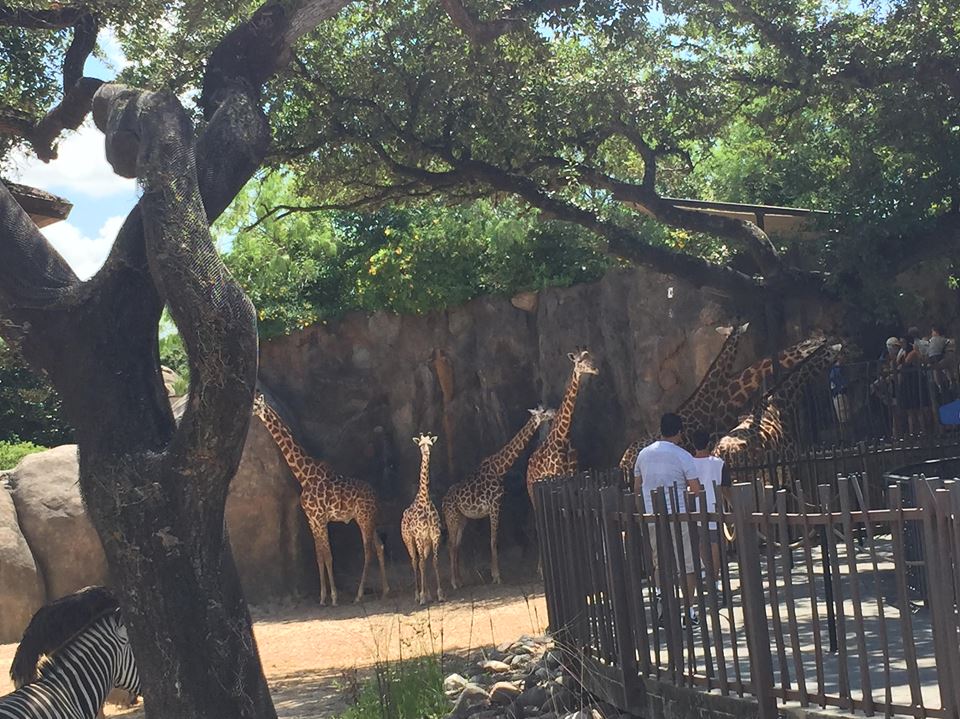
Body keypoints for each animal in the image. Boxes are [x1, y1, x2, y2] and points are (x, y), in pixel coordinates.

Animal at [252, 394, 389, 606]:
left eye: (256, 404)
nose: (250, 411)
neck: (304, 475)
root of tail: (376, 496)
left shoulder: (320, 518)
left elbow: (329, 556)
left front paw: (333, 597)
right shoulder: (312, 520)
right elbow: (320, 556)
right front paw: (323, 597)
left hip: (364, 519)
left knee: (369, 551)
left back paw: (358, 595)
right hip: (368, 519)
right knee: (380, 546)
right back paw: (385, 592)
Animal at [401, 434, 444, 605]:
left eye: (430, 444)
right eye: (420, 445)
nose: (426, 453)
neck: (424, 501)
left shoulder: (434, 536)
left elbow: (434, 562)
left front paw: (439, 594)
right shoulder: (419, 536)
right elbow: (421, 564)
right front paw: (422, 597)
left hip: (425, 543)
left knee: (422, 561)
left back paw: (427, 594)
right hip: (408, 539)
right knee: (415, 561)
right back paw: (417, 595)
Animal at [443, 406, 556, 590]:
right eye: (544, 412)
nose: (554, 412)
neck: (500, 468)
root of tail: (442, 502)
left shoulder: (495, 506)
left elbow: (493, 540)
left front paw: (495, 575)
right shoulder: (494, 505)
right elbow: (493, 540)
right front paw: (496, 576)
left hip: (461, 518)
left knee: (455, 545)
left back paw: (459, 580)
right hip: (451, 517)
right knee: (451, 545)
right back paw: (454, 583)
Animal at [527, 349, 599, 502]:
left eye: (591, 357)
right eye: (579, 361)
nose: (595, 369)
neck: (564, 435)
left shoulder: (574, 471)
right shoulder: (559, 473)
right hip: (532, 488)